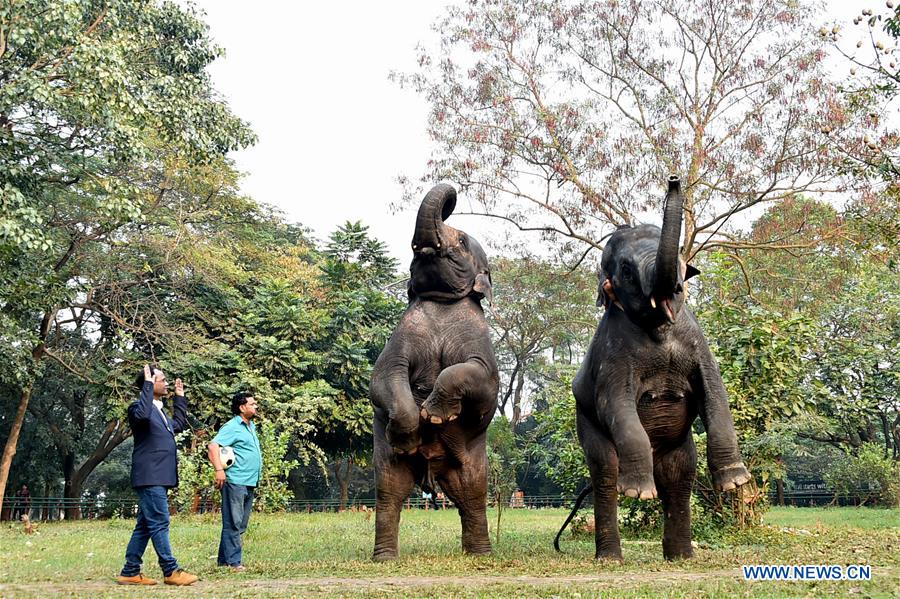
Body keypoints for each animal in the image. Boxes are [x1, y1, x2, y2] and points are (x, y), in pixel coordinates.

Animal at [370, 183, 502, 564]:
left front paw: (434, 414)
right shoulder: (399, 338)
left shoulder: (481, 345)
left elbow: (483, 380)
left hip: (472, 460)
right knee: (388, 493)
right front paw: (410, 432)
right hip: (386, 460)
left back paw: (480, 555)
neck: (443, 301)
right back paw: (385, 558)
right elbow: (384, 374)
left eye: (461, 241)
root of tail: (430, 476)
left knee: (473, 494)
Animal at [564, 175, 752, 564]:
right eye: (625, 270)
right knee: (605, 473)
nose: (674, 178)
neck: (660, 328)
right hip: (585, 425)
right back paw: (611, 555)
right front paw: (638, 494)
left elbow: (716, 392)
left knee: (679, 477)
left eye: (681, 255)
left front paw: (735, 482)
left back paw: (681, 556)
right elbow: (615, 404)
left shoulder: (697, 342)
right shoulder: (613, 355)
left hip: (679, 447)